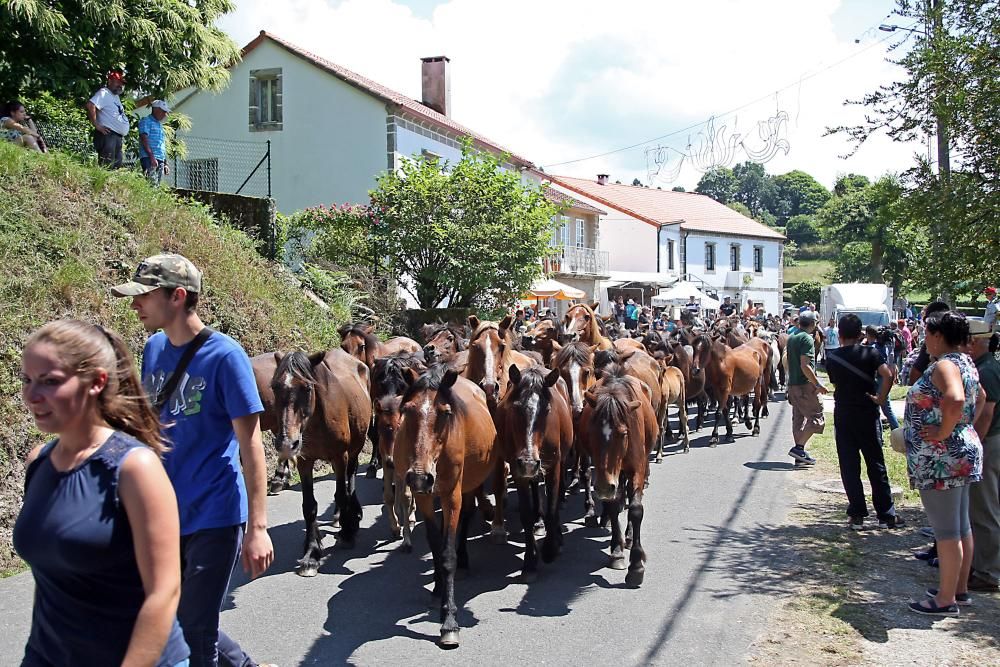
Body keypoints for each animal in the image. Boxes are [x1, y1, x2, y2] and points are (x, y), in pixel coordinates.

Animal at [270, 350, 372, 576]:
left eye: (307, 388)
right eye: (274, 387)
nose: (287, 443)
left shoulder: (340, 456)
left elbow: (342, 494)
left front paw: (347, 532)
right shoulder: (304, 461)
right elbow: (309, 506)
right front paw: (311, 552)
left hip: (354, 450)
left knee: (350, 478)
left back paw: (352, 516)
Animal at [392, 366, 498, 648]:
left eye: (445, 412)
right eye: (407, 409)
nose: (420, 477)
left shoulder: (452, 496)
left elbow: (448, 554)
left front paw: (449, 620)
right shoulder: (424, 497)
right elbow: (434, 544)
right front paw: (439, 590)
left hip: (468, 485)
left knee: (466, 518)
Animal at [496, 366, 576, 580]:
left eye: (547, 410)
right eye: (515, 408)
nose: (529, 462)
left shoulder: (553, 466)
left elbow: (552, 509)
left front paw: (550, 549)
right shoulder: (518, 469)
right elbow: (525, 514)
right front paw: (530, 561)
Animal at [580, 376, 656, 588]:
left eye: (623, 433)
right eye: (591, 432)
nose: (605, 487)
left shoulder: (637, 469)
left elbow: (636, 509)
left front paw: (636, 565)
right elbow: (614, 506)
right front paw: (617, 553)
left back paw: (629, 537)